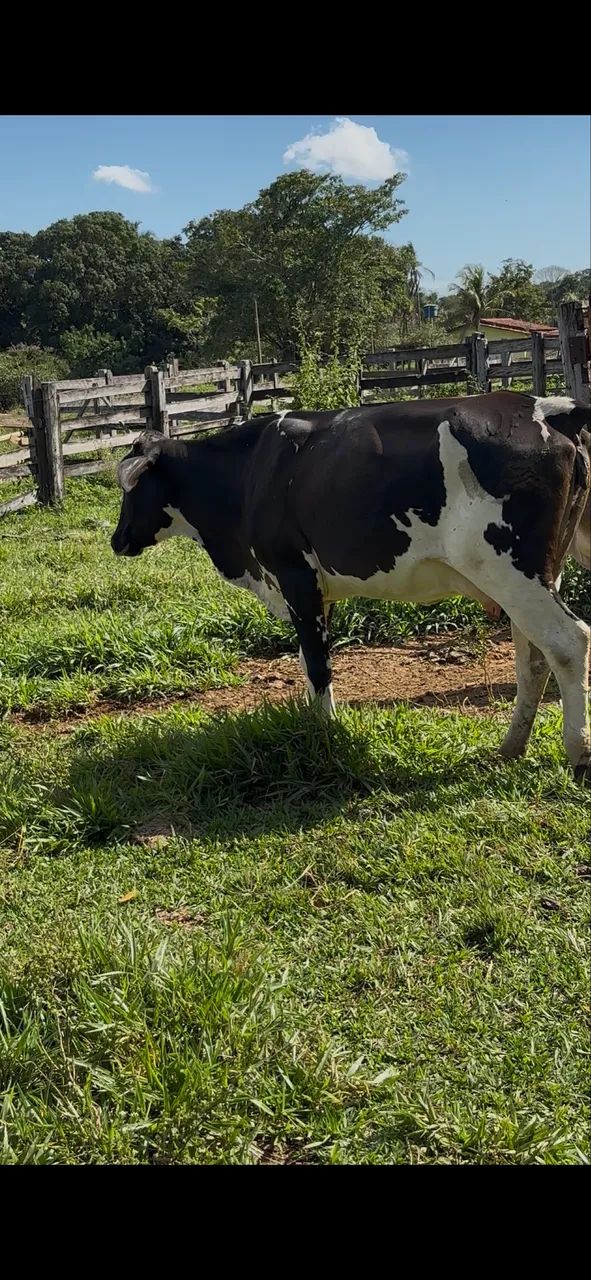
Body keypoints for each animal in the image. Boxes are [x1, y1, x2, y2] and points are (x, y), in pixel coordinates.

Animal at [111, 391, 591, 783]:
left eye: (132, 488)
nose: (116, 540)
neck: (247, 473)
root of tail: (545, 409)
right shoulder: (317, 591)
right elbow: (308, 661)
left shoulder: (295, 575)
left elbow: (317, 666)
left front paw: (325, 734)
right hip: (536, 575)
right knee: (533, 658)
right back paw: (511, 746)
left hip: (508, 569)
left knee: (569, 642)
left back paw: (578, 754)